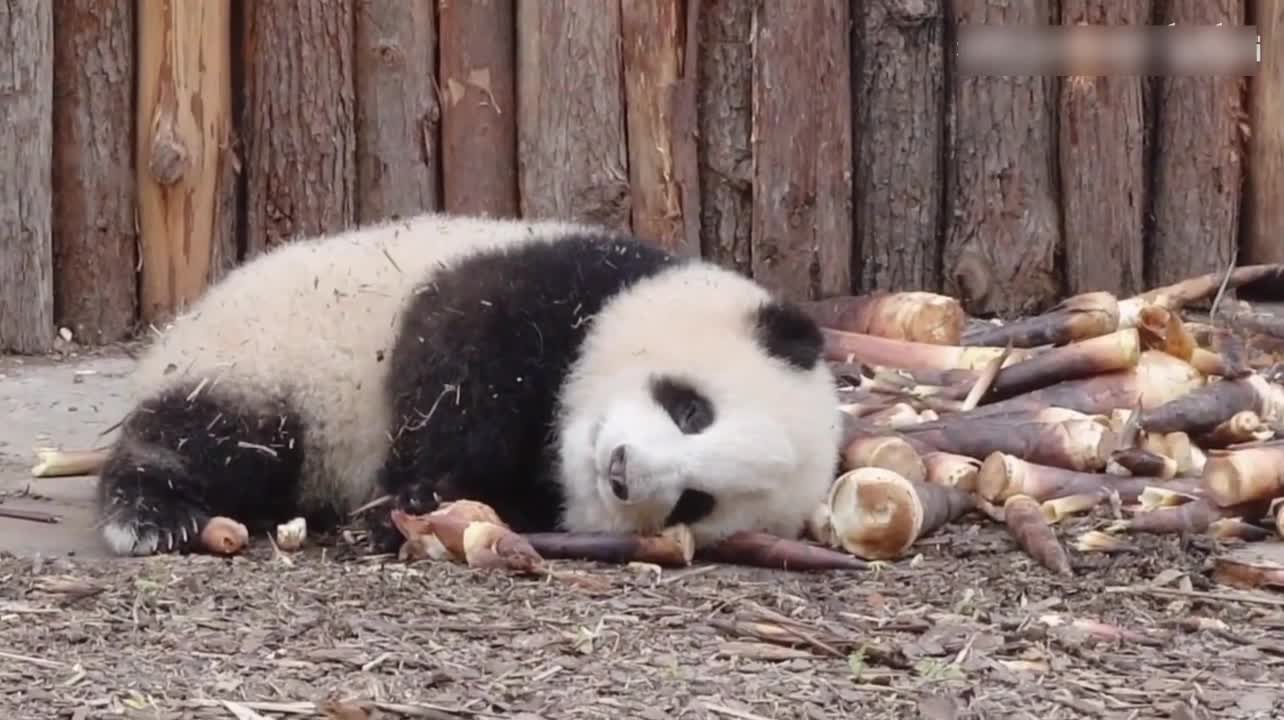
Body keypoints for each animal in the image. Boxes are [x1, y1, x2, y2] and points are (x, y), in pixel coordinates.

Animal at [95, 211, 847, 557]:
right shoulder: (549, 281)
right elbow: (457, 366)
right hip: (255, 358)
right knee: (222, 437)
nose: (621, 471)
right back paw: (151, 512)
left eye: (695, 502)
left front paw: (417, 507)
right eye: (692, 410)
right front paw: (414, 495)